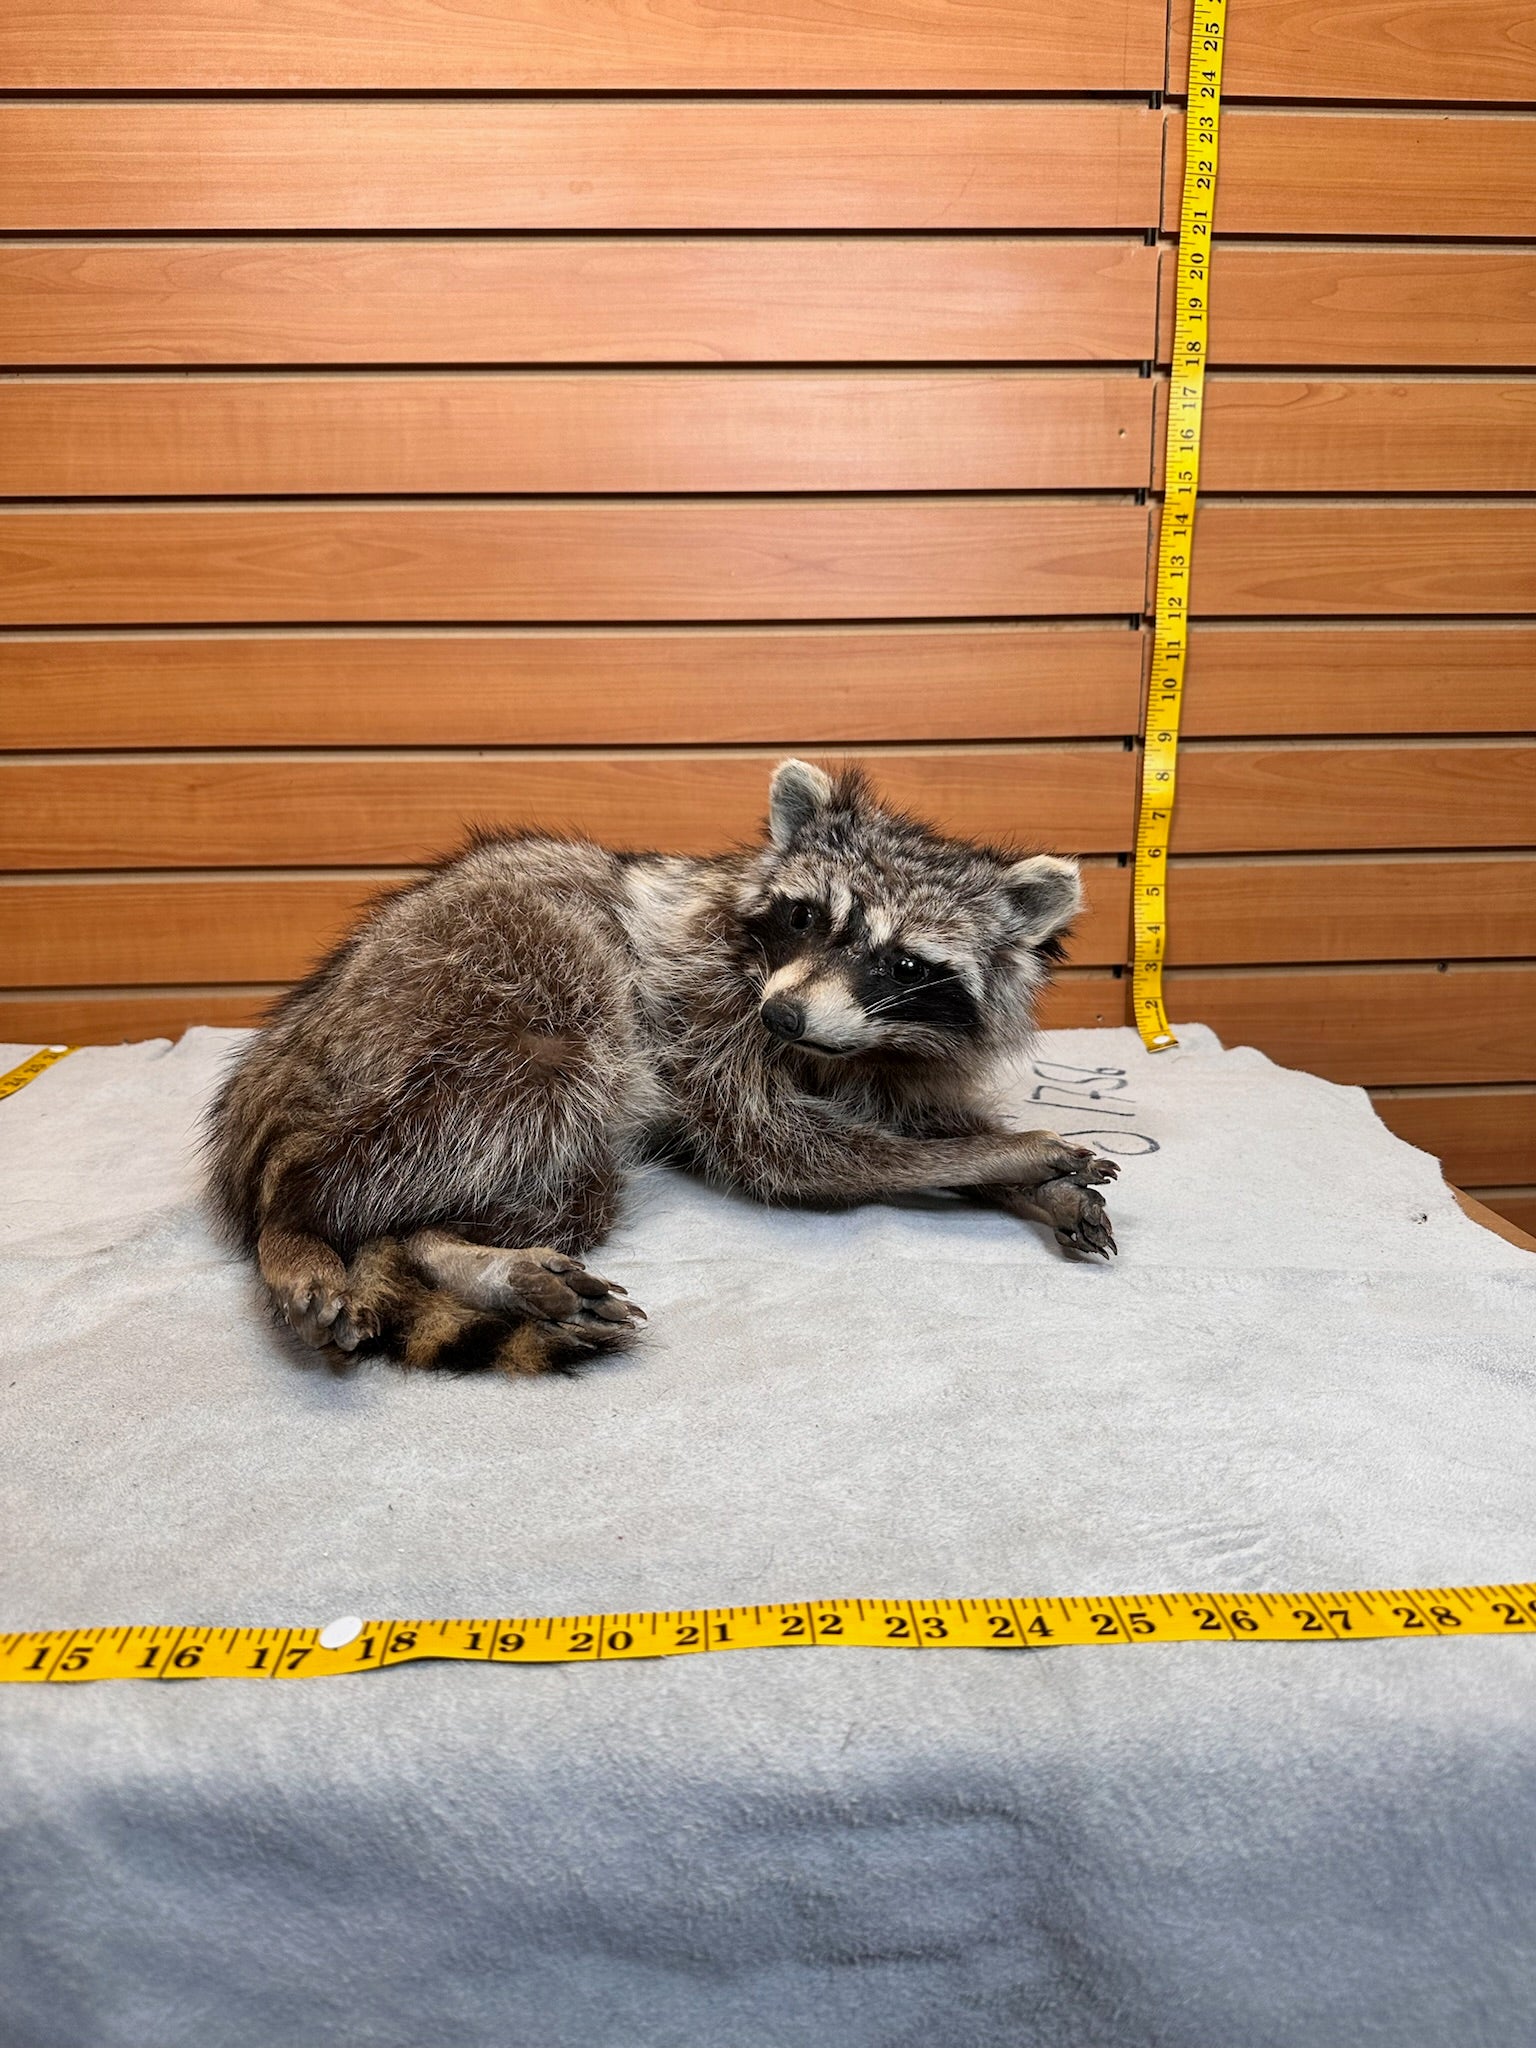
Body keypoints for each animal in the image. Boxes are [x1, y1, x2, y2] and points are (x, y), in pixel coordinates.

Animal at [206, 759, 1118, 1376]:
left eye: (902, 965)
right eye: (804, 917)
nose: (784, 1017)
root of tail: (288, 1045)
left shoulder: (883, 1052)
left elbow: (909, 1114)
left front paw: (1018, 1175)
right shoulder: (706, 1011)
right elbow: (791, 1152)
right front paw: (1011, 1154)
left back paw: (443, 1241)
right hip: (500, 995)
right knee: (501, 1117)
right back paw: (312, 1216)